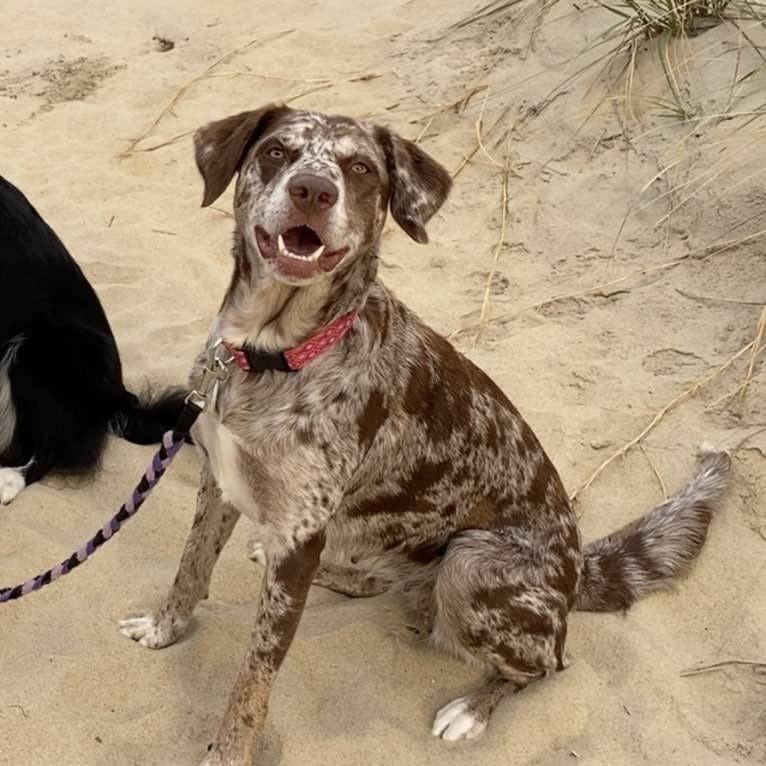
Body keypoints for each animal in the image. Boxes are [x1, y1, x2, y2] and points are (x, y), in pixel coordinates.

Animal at [120, 105, 732, 764]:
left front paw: (228, 752)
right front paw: (164, 627)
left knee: (548, 663)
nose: (313, 191)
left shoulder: (300, 535)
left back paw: (472, 709)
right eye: (277, 152)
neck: (273, 353)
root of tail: (575, 575)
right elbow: (191, 569)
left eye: (360, 168)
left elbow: (254, 674)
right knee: (378, 581)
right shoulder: (220, 481)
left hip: (472, 561)